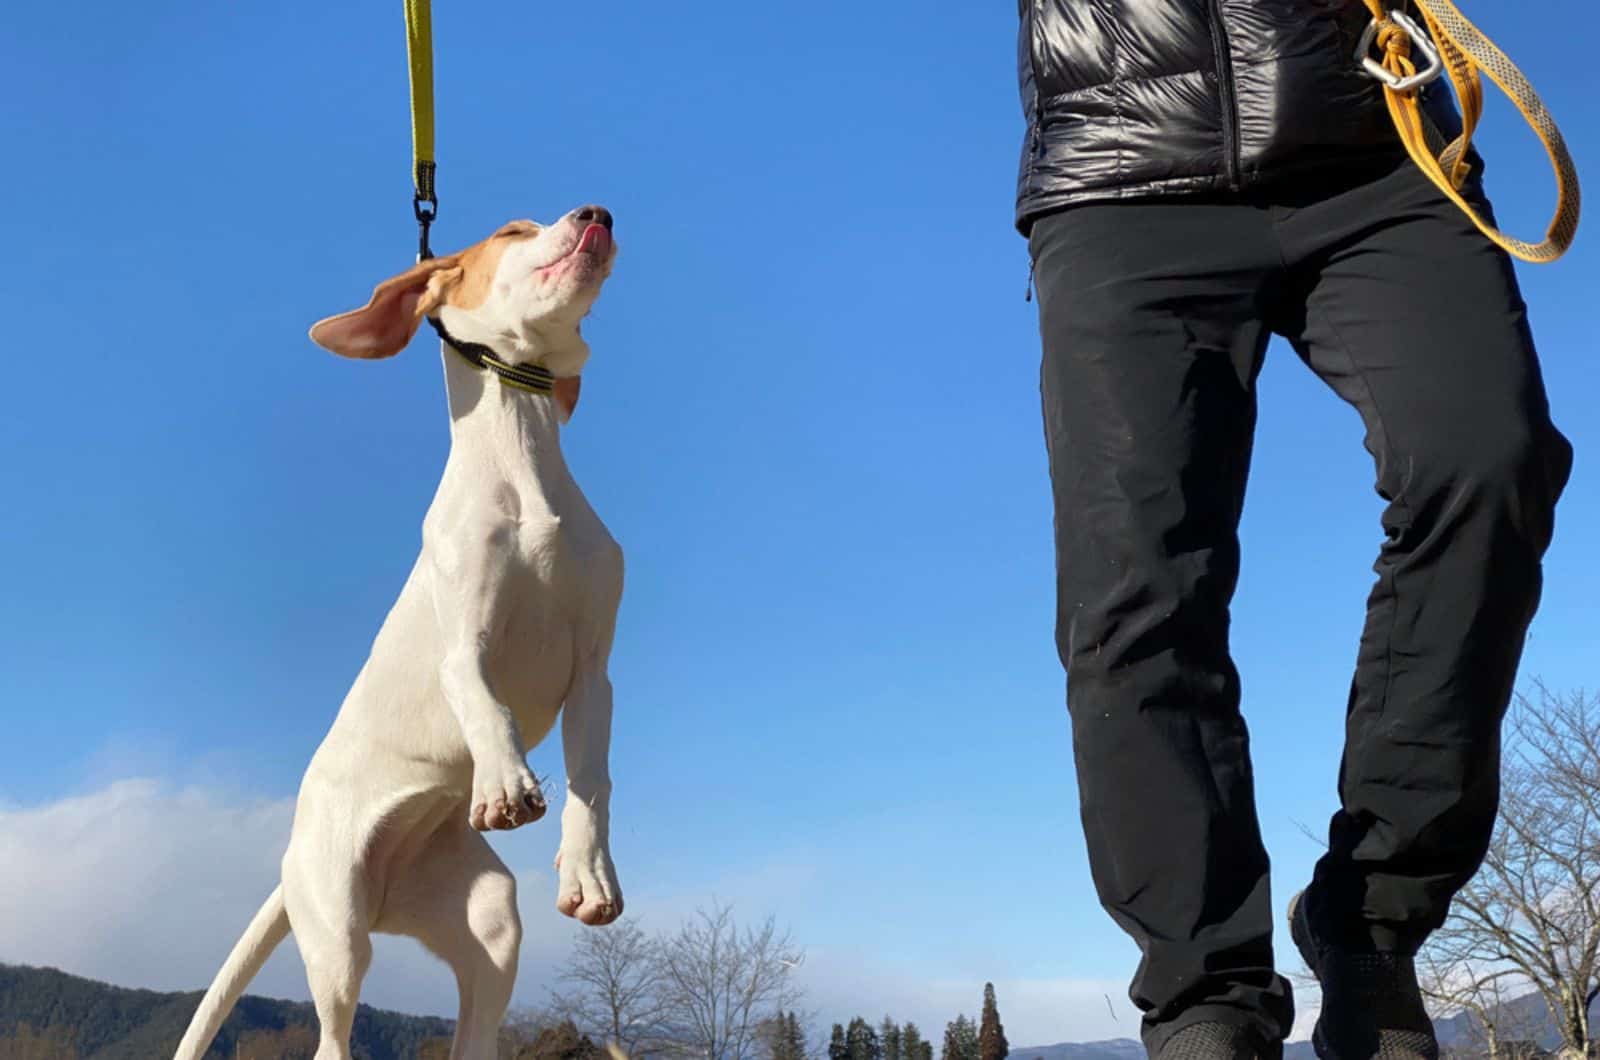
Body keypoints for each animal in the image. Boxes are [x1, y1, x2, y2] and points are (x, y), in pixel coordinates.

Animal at [175, 204, 624, 1060]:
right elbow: (486, 703)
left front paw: (588, 874)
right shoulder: (464, 642)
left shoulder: (595, 672)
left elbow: (592, 784)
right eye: (513, 231)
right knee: (332, 1036)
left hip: (490, 919)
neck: (523, 463)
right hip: (338, 931)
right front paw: (504, 782)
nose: (597, 213)